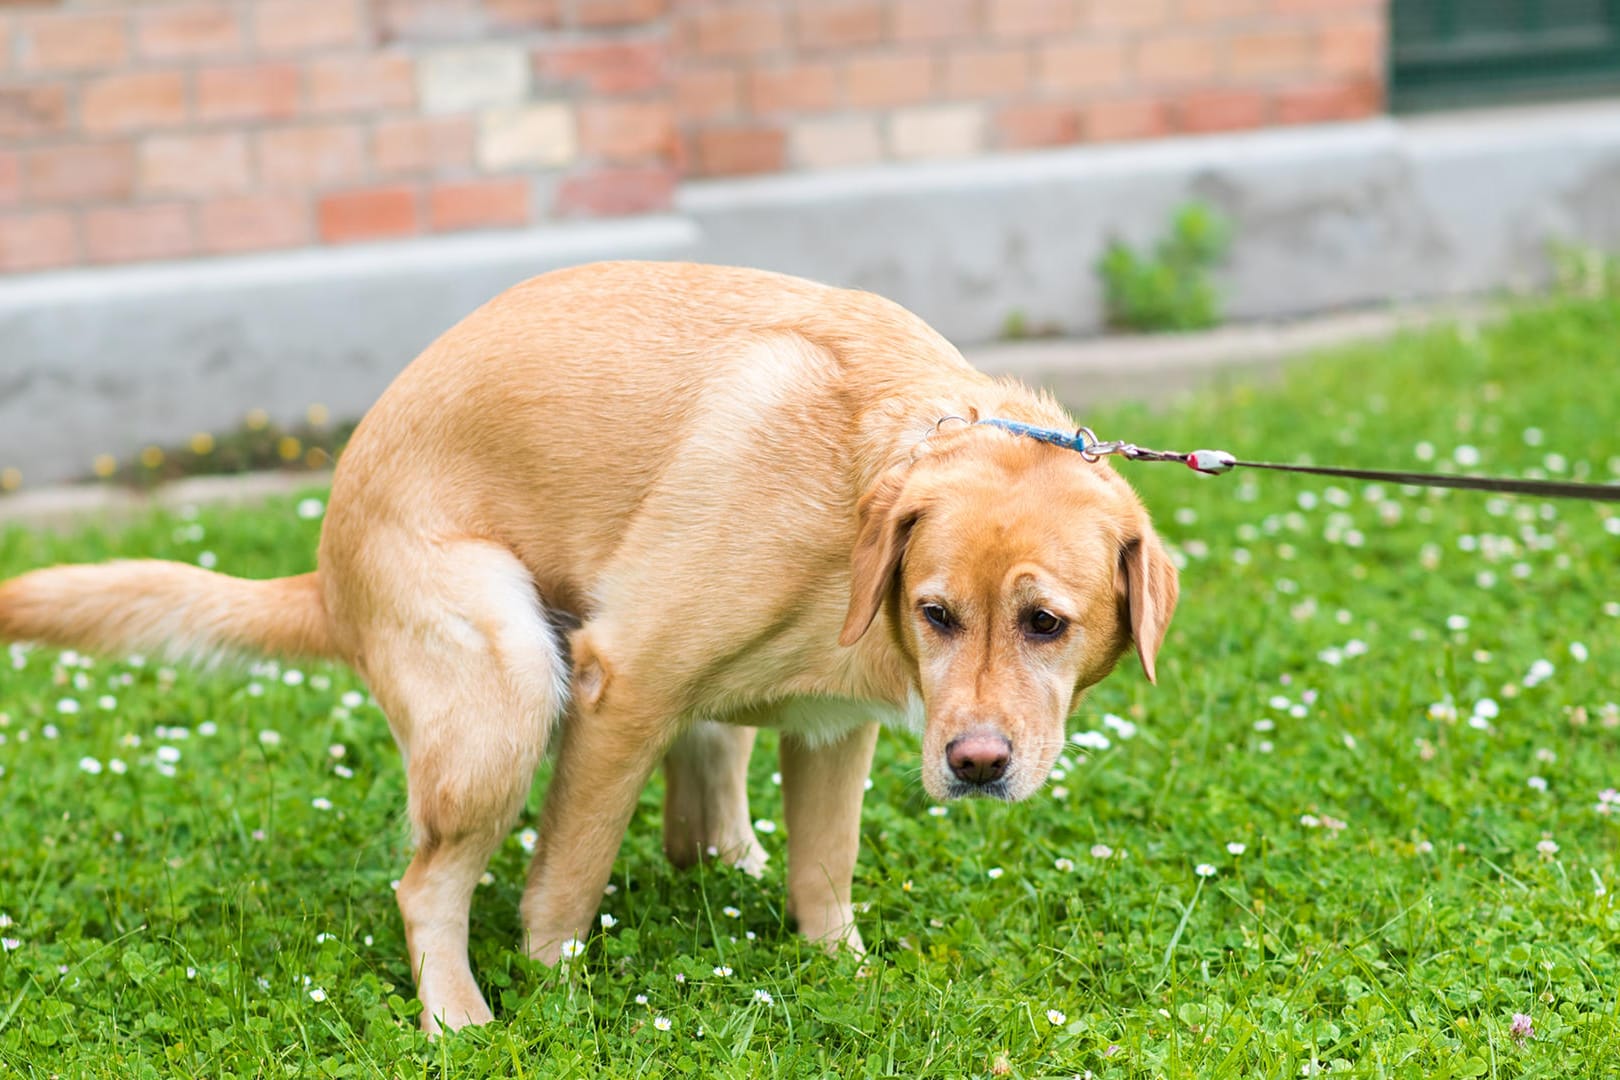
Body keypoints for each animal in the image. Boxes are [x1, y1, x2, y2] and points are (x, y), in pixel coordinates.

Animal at [0, 259, 1172, 1029]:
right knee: (427, 888)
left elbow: (823, 873)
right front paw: (557, 994)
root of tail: (328, 573)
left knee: (702, 819)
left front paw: (846, 972)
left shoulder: (834, 731)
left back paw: (728, 862)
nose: (975, 765)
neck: (860, 488)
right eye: (937, 613)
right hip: (508, 688)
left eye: (1045, 624)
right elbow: (564, 884)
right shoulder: (625, 684)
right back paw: (460, 1016)